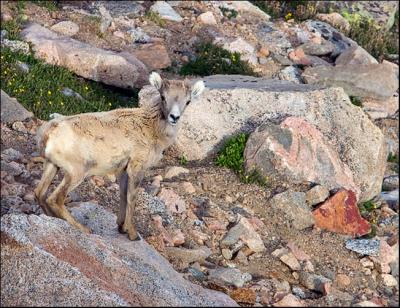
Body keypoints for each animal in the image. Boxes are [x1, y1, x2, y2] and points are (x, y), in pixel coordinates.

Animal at [34, 73, 206, 241]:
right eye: (163, 96)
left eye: (188, 101)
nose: (174, 117)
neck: (152, 129)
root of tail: (49, 133)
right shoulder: (137, 167)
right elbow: (132, 197)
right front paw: (132, 234)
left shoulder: (122, 170)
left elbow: (123, 194)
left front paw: (121, 227)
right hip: (76, 173)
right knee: (55, 199)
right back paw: (84, 228)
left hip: (52, 166)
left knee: (39, 193)